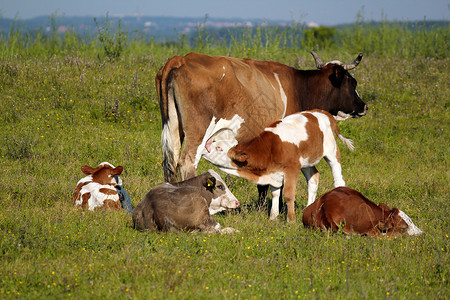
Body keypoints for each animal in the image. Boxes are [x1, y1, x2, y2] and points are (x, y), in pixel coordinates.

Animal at [225, 109, 356, 221]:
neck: (271, 147)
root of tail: (323, 112)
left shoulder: (292, 168)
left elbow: (288, 194)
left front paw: (290, 220)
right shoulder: (275, 172)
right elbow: (275, 193)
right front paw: (273, 218)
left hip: (332, 152)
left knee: (338, 179)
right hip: (306, 162)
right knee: (313, 178)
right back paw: (308, 209)